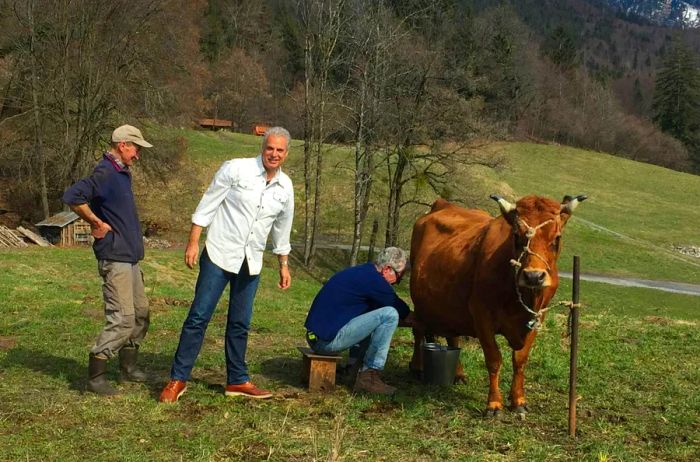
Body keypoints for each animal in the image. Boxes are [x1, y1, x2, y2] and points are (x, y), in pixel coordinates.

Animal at [410, 193, 584, 416]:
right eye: (516, 237)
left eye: (557, 238)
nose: (534, 276)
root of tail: (443, 204)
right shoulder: (481, 315)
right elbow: (494, 359)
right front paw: (493, 403)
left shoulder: (537, 317)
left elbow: (520, 360)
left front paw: (518, 400)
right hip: (419, 301)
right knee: (418, 331)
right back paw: (417, 367)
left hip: (451, 306)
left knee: (453, 338)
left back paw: (458, 373)